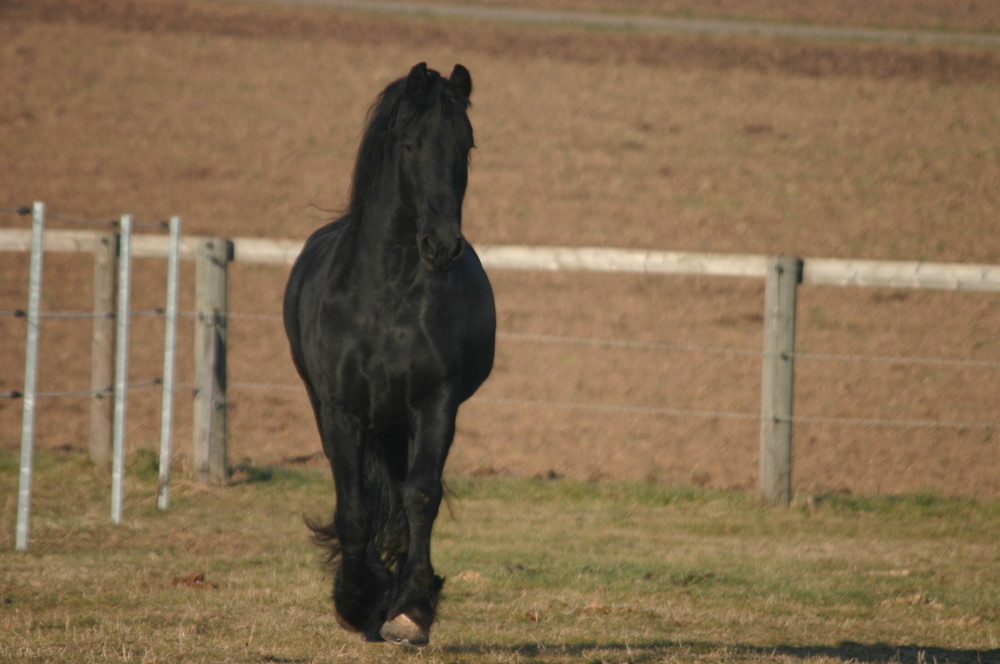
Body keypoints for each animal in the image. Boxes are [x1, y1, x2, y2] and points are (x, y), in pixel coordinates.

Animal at [284, 65, 494, 644]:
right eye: (410, 143)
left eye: (466, 144)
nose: (442, 247)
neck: (387, 296)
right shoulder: (341, 411)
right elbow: (354, 506)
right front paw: (356, 602)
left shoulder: (435, 403)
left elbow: (419, 495)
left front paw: (411, 610)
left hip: (398, 420)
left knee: (399, 493)